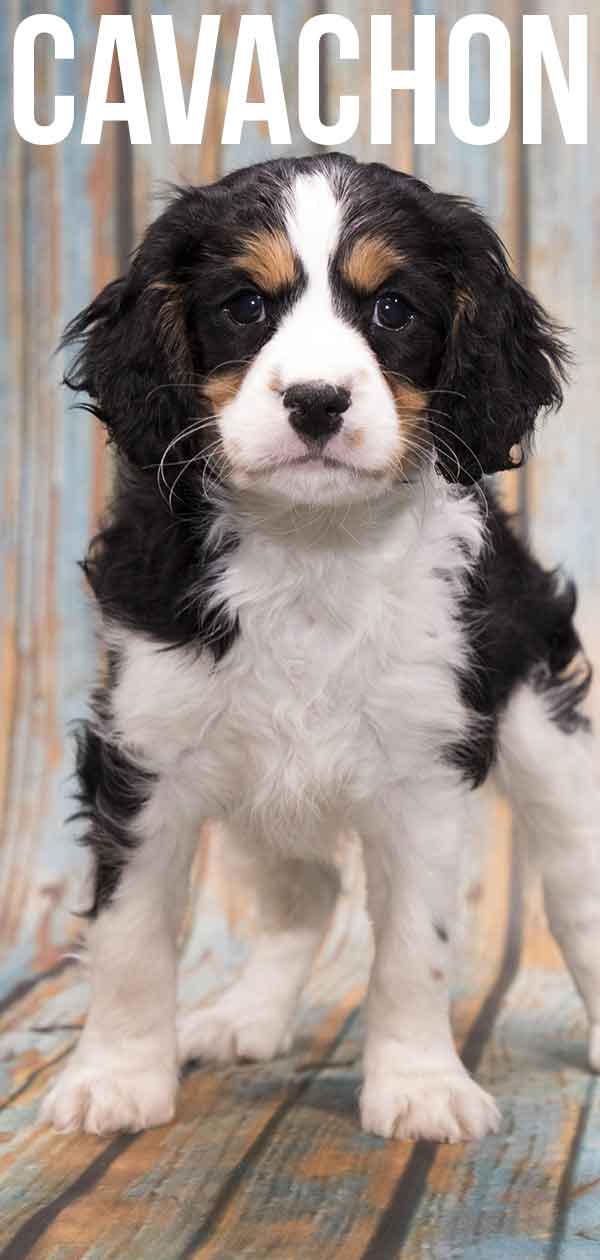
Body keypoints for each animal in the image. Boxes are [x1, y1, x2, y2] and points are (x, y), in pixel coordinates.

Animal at [39, 149, 597, 1144]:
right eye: (244, 307)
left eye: (393, 311)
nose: (316, 402)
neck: (311, 545)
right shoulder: (145, 749)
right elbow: (131, 934)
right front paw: (117, 1077)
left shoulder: (425, 766)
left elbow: (415, 946)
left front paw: (419, 1085)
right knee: (304, 896)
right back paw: (246, 1018)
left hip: (540, 720)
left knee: (575, 890)